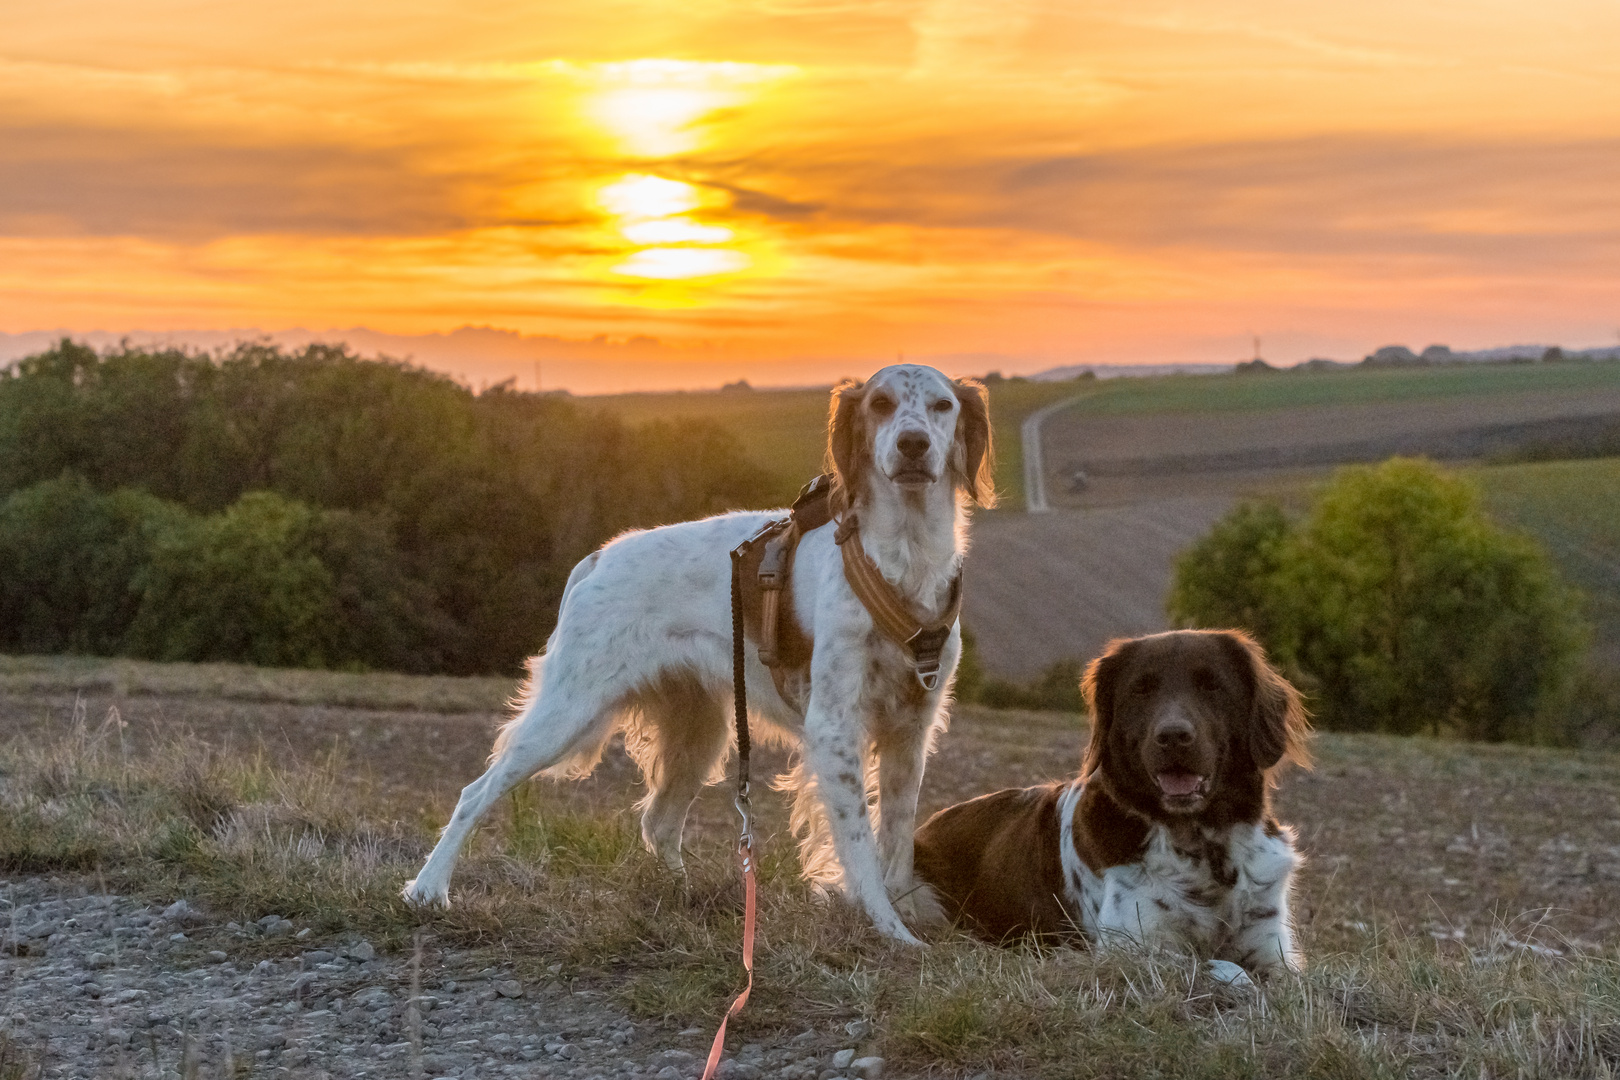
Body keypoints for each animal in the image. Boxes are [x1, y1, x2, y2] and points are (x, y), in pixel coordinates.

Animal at [398, 362, 991, 945]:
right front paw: (890, 929)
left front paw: (907, 912)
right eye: (881, 404)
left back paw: (692, 898)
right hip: (567, 714)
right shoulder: (834, 725)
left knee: (658, 823)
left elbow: (898, 837)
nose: (913, 444)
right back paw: (428, 890)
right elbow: (861, 844)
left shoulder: (912, 727)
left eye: (942, 406)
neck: (905, 557)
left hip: (701, 731)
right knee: (476, 792)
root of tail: (599, 557)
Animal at [920, 628, 1308, 977]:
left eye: (1212, 685)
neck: (1202, 845)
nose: (1173, 736)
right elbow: (1226, 969)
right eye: (1141, 689)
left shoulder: (1272, 948)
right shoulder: (1129, 945)